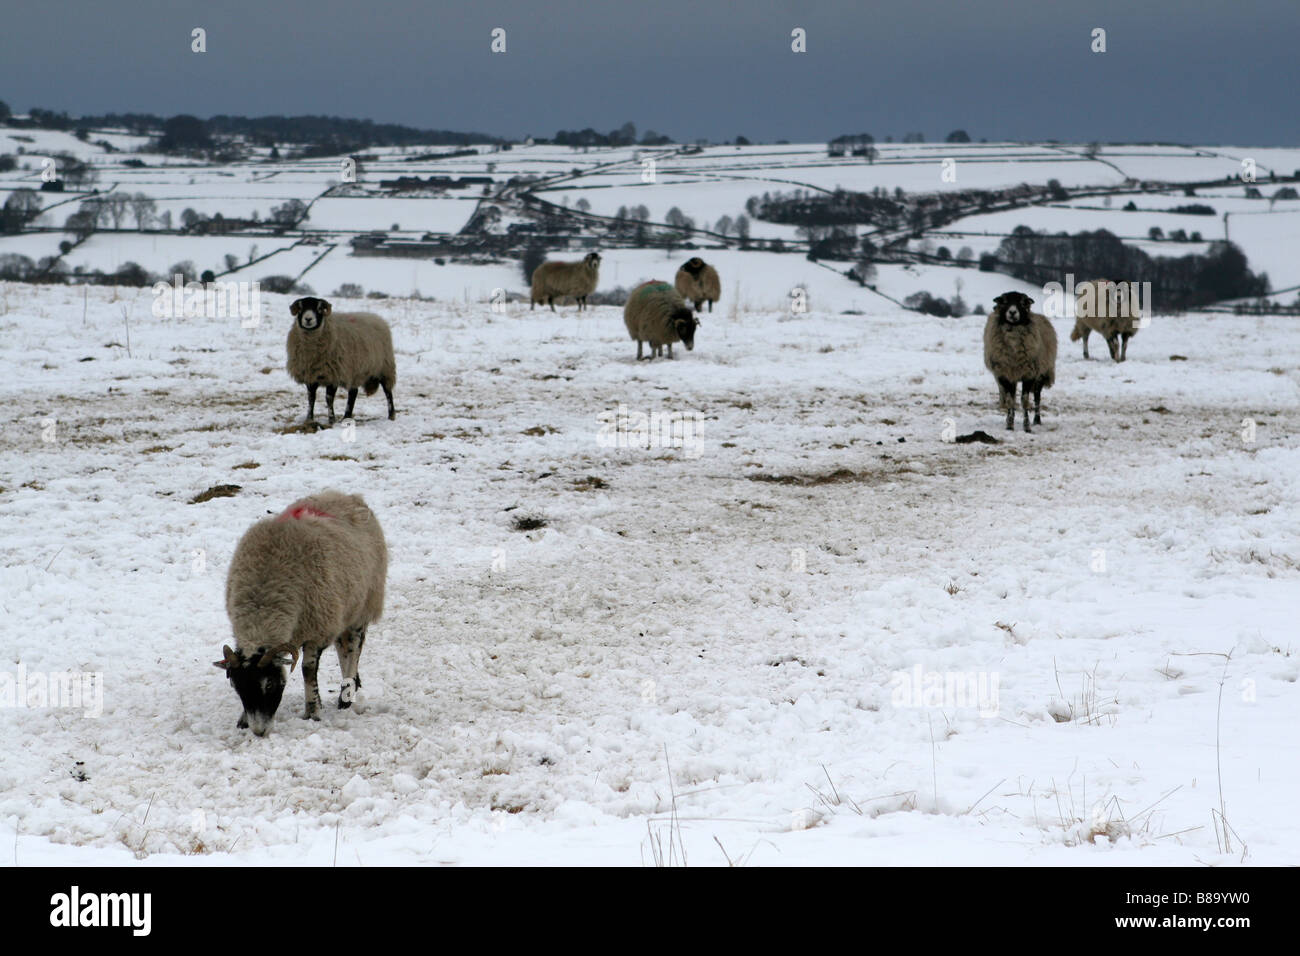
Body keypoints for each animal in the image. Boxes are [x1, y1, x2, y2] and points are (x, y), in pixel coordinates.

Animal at [215, 489, 387, 738]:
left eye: (269, 684)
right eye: (236, 687)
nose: (259, 732)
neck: (263, 608)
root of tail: (346, 495)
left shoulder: (317, 629)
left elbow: (307, 670)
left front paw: (313, 711)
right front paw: (243, 720)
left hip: (362, 604)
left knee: (353, 650)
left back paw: (346, 694)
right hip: (342, 610)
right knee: (343, 649)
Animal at [982, 291, 1055, 434]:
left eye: (1022, 302)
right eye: (1004, 301)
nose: (1012, 312)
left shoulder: (1029, 374)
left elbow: (1025, 400)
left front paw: (1027, 426)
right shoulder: (1005, 374)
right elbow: (1010, 400)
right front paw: (1009, 424)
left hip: (1041, 374)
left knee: (1037, 397)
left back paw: (1037, 420)